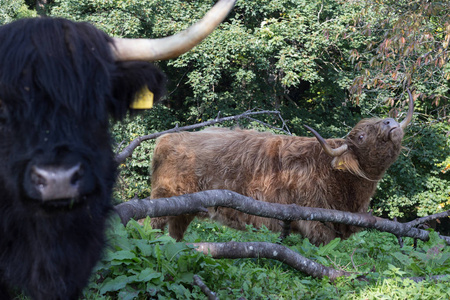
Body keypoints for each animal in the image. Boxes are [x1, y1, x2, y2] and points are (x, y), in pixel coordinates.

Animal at [149, 94, 414, 246]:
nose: (390, 122)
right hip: (164, 202)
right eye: (361, 135)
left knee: (175, 234)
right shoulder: (318, 225)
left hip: (185, 210)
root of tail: (166, 138)